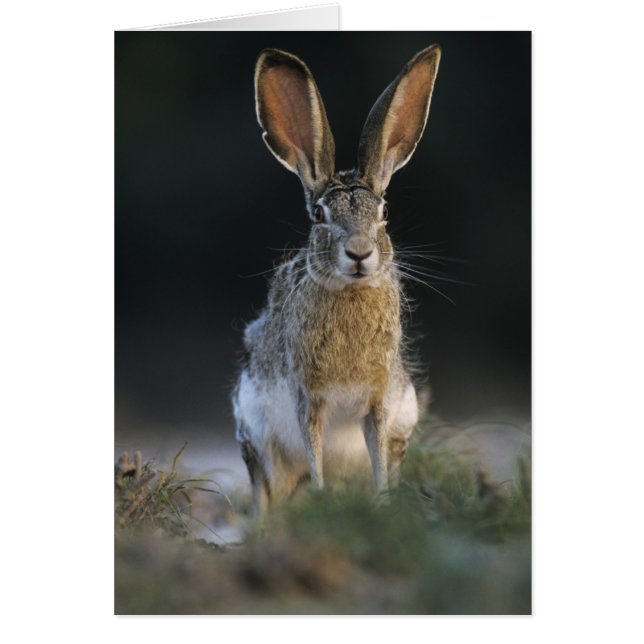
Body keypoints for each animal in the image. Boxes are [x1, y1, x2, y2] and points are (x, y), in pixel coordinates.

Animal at [233, 45, 442, 516]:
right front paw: (323, 498)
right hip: (254, 434)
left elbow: (377, 452)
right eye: (318, 215)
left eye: (384, 212)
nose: (360, 253)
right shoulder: (308, 397)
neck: (351, 291)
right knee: (265, 488)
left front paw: (382, 505)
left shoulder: (381, 402)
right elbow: (314, 452)